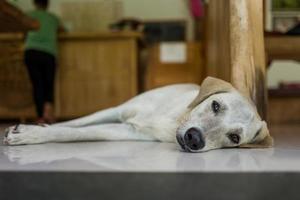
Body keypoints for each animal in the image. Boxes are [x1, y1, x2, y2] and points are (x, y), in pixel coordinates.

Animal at [2, 76, 274, 152]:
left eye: (234, 138)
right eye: (216, 105)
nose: (194, 139)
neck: (174, 119)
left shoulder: (123, 129)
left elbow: (72, 133)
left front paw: (30, 134)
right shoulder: (116, 110)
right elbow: (74, 123)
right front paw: (38, 127)